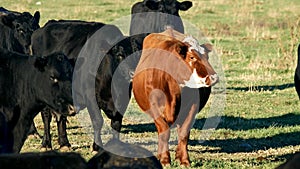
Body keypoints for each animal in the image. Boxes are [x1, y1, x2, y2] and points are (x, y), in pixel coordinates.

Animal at [132, 28, 219, 166]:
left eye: (207, 57)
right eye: (192, 57)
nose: (214, 78)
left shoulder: (193, 107)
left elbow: (184, 133)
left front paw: (184, 160)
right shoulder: (154, 106)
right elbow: (164, 132)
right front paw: (164, 159)